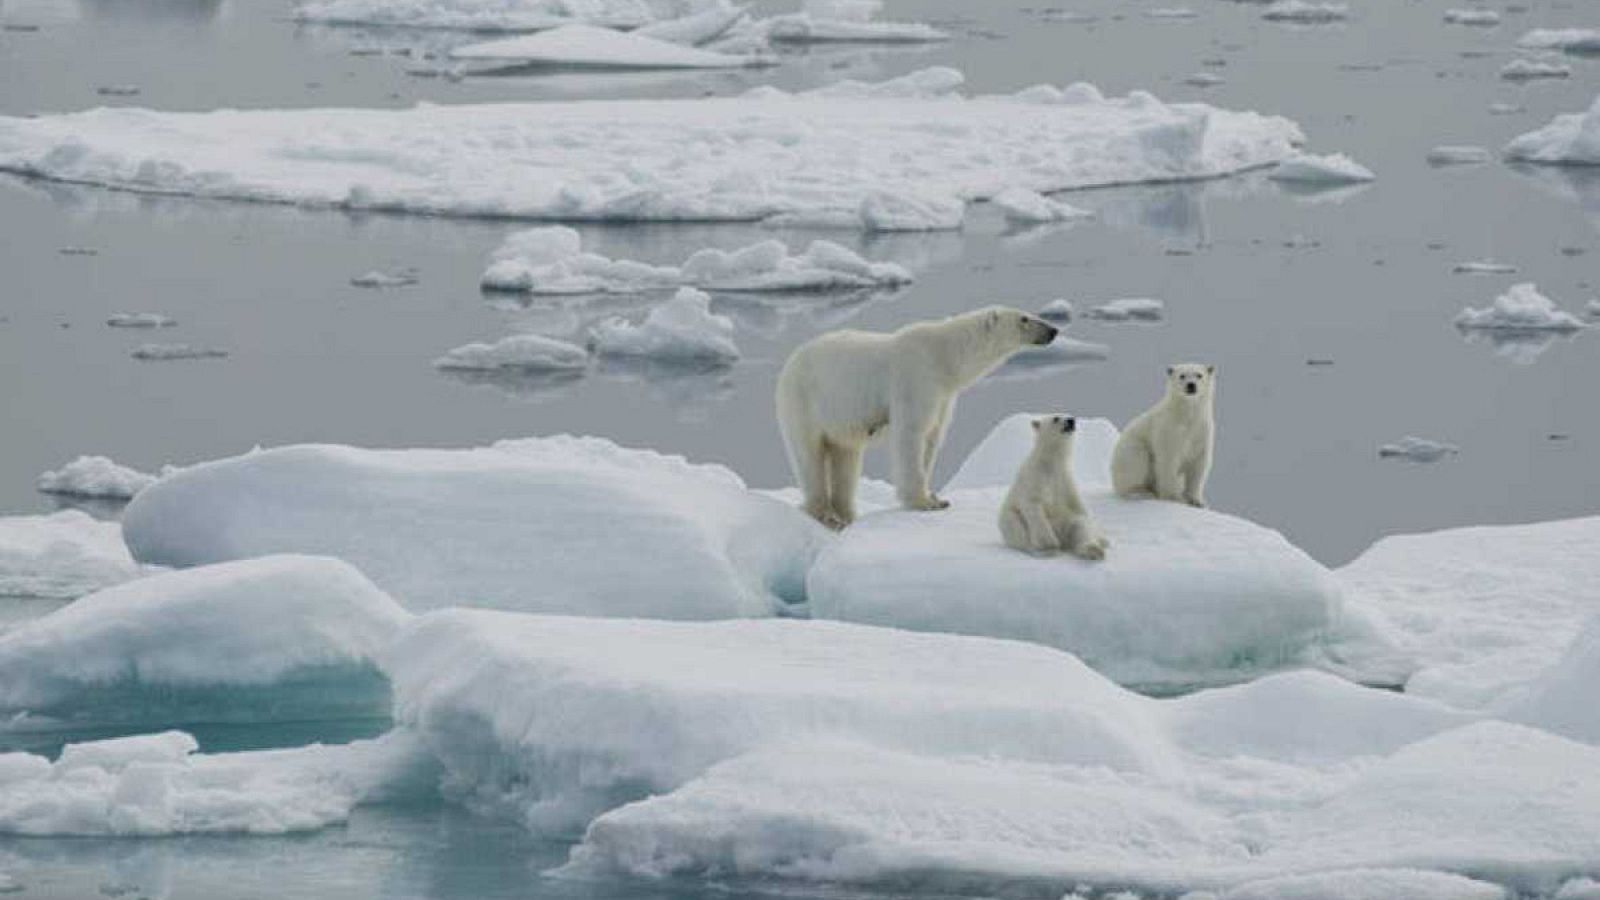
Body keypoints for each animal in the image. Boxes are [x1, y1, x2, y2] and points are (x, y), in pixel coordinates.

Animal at [776, 306, 1059, 529]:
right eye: (1024, 318)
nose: (1053, 330)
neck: (944, 356)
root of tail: (790, 363)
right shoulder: (916, 377)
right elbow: (912, 434)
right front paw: (922, 502)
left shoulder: (943, 394)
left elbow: (932, 437)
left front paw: (936, 497)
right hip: (804, 401)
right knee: (809, 455)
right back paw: (825, 514)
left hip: (839, 420)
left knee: (846, 457)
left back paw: (846, 514)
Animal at [998, 414, 1109, 560]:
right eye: (1056, 418)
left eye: (1069, 414)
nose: (1071, 420)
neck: (1053, 461)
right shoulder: (1035, 477)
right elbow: (1033, 504)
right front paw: (1049, 544)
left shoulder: (1065, 479)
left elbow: (1081, 510)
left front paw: (1102, 538)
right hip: (1010, 519)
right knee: (1018, 529)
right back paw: (1043, 550)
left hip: (1066, 522)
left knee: (1078, 525)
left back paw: (1093, 550)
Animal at [1110, 363, 1216, 508]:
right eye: (1182, 375)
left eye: (1199, 375)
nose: (1191, 385)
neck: (1186, 415)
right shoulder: (1168, 430)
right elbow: (1168, 460)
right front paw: (1173, 497)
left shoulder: (1201, 430)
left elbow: (1198, 464)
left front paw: (1197, 501)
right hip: (1131, 449)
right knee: (1137, 462)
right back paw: (1141, 492)